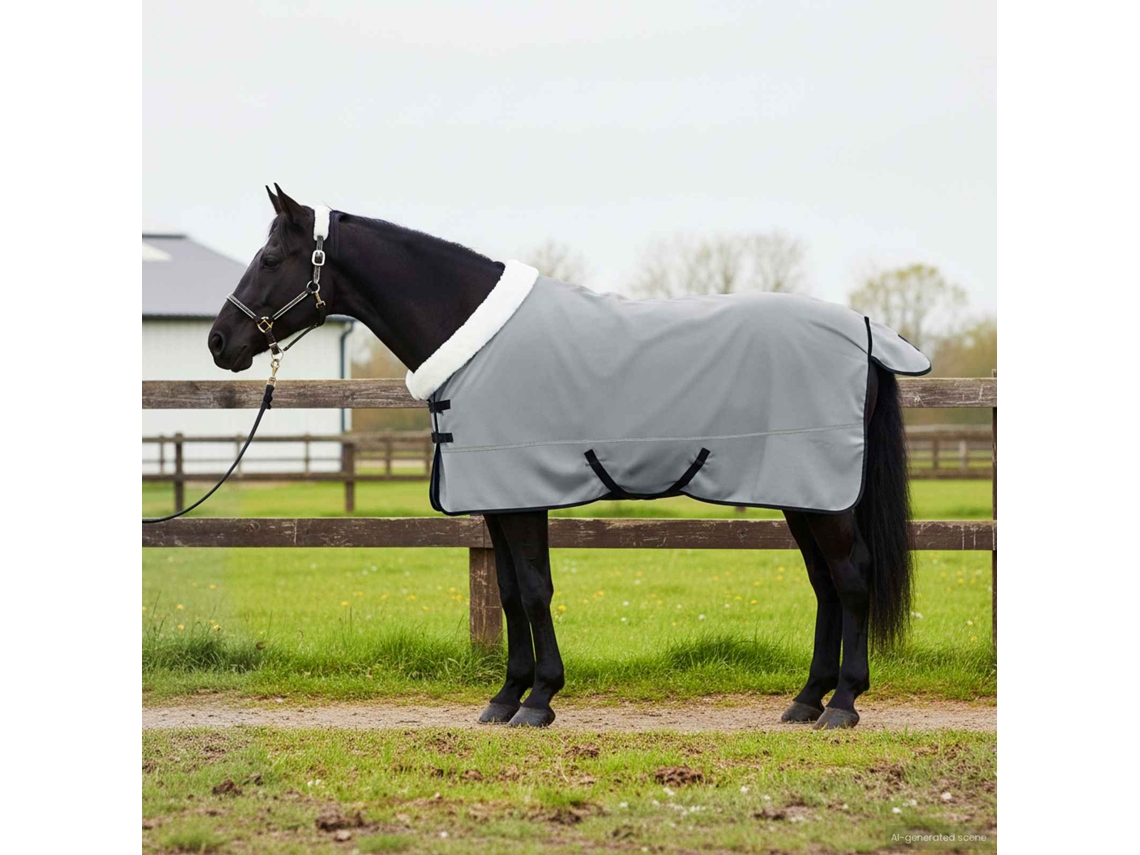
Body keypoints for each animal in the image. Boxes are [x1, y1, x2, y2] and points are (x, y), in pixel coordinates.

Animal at [207, 186, 921, 730]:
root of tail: (865, 332)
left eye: (270, 256)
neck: (472, 337)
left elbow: (533, 590)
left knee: (852, 577)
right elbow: (507, 593)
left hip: (824, 496)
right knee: (826, 584)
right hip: (804, 493)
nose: (219, 341)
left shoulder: (522, 496)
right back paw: (806, 701)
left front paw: (540, 699)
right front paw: (506, 697)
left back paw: (843, 704)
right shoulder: (497, 501)